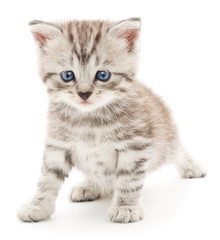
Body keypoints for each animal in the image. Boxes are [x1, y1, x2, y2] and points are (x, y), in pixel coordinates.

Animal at [17, 17, 206, 222]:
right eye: (67, 75)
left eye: (103, 75)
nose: (84, 93)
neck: (89, 119)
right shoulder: (58, 145)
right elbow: (47, 179)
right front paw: (38, 206)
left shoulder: (134, 146)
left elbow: (129, 180)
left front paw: (126, 207)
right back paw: (90, 186)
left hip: (165, 143)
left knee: (177, 149)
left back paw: (192, 167)